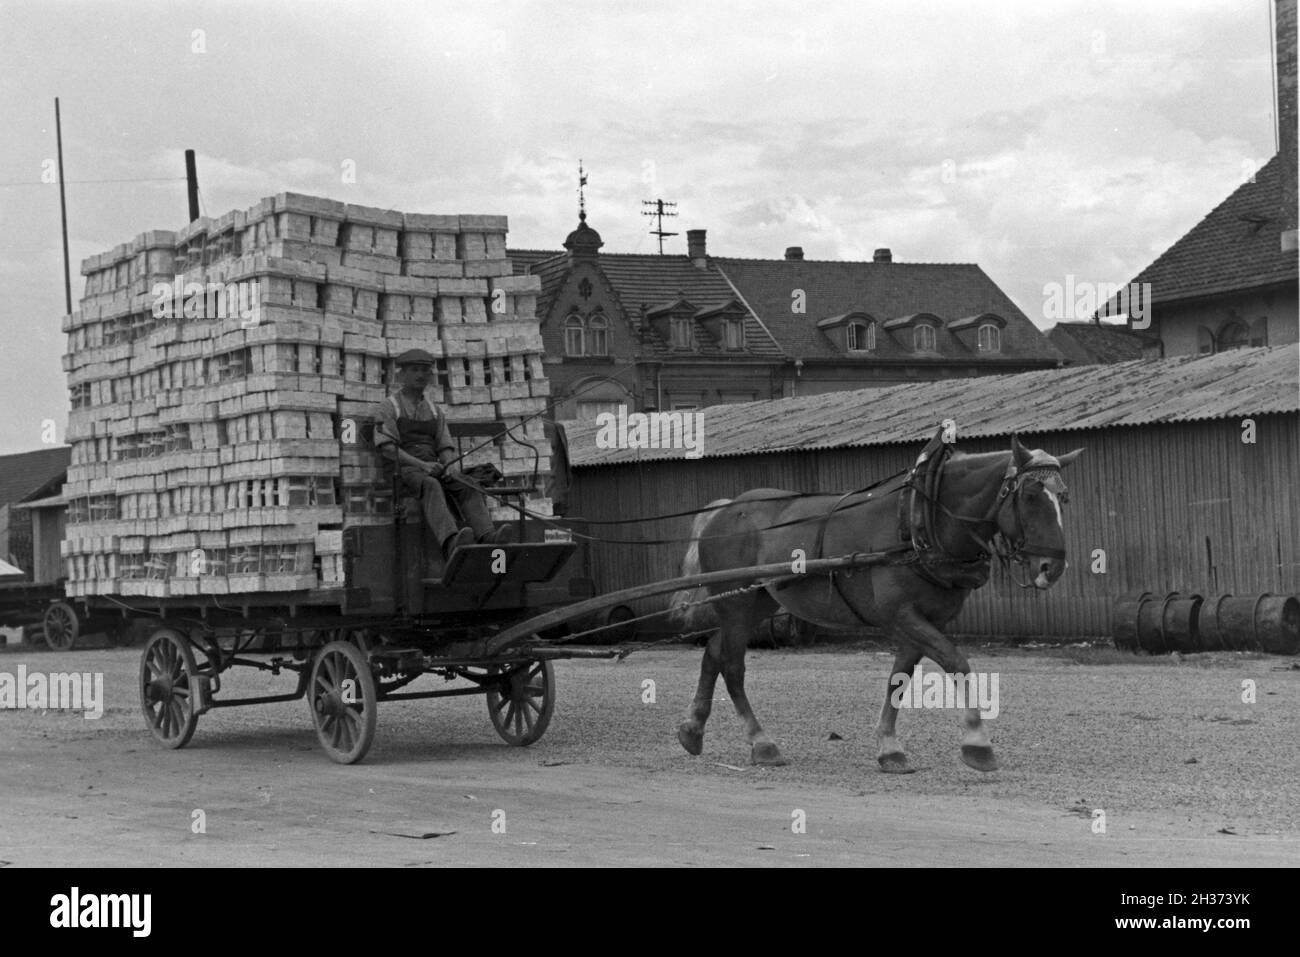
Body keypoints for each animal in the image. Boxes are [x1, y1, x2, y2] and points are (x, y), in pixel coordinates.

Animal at [676, 434, 1081, 769]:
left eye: (1063, 498)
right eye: (1030, 496)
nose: (1053, 567)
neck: (920, 519)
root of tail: (724, 510)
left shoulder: (923, 621)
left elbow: (898, 678)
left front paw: (889, 748)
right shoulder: (900, 616)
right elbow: (956, 662)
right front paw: (977, 743)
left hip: (755, 603)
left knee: (714, 651)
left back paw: (693, 731)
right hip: (738, 604)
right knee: (732, 666)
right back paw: (762, 743)